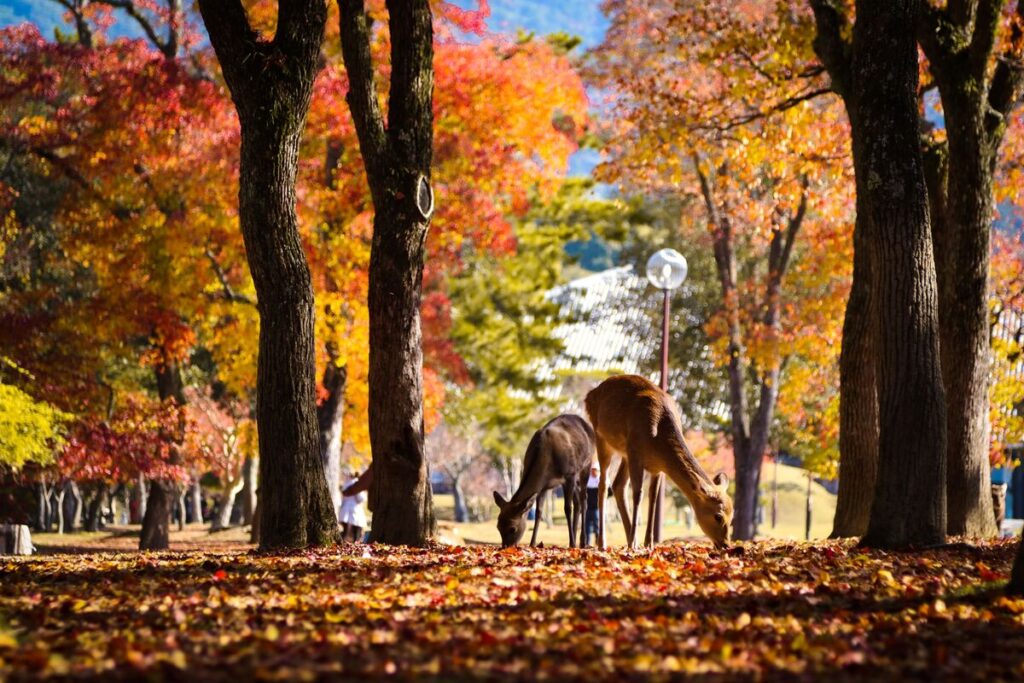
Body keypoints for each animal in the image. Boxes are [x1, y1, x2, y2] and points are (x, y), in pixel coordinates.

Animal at [492, 414, 595, 548]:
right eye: (498, 527)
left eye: (512, 528)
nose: (506, 547)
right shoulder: (544, 486)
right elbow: (538, 512)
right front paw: (532, 543)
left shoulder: (569, 475)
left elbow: (567, 508)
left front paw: (572, 544)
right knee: (577, 502)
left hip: (586, 465)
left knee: (583, 500)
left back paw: (582, 542)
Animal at [585, 374, 733, 550]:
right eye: (718, 516)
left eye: (732, 516)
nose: (726, 544)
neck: (657, 439)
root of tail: (589, 395)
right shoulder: (636, 453)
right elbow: (638, 494)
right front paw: (635, 544)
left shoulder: (658, 467)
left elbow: (653, 496)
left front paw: (648, 543)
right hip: (602, 437)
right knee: (603, 485)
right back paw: (604, 543)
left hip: (625, 452)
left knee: (618, 485)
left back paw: (632, 540)